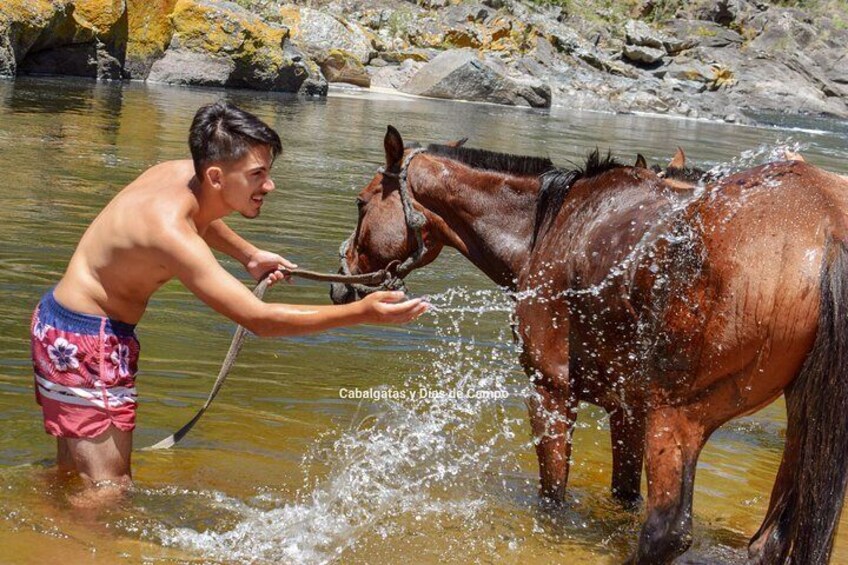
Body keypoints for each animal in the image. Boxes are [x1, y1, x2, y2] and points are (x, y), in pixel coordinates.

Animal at [330, 125, 848, 560]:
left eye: (361, 203)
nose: (340, 281)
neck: (545, 228)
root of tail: (826, 232)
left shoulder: (551, 390)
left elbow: (554, 498)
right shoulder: (627, 408)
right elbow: (623, 496)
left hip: (680, 415)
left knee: (666, 532)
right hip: (801, 419)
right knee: (772, 539)